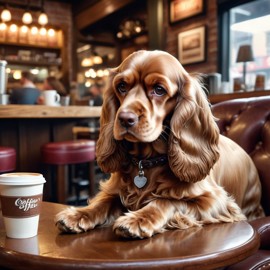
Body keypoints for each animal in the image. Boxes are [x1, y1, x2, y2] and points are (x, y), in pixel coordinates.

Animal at [54, 49, 264, 237]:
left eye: (159, 90)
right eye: (121, 86)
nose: (124, 119)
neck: (147, 162)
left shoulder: (217, 202)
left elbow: (168, 200)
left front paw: (138, 219)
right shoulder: (115, 190)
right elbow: (102, 201)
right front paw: (78, 214)